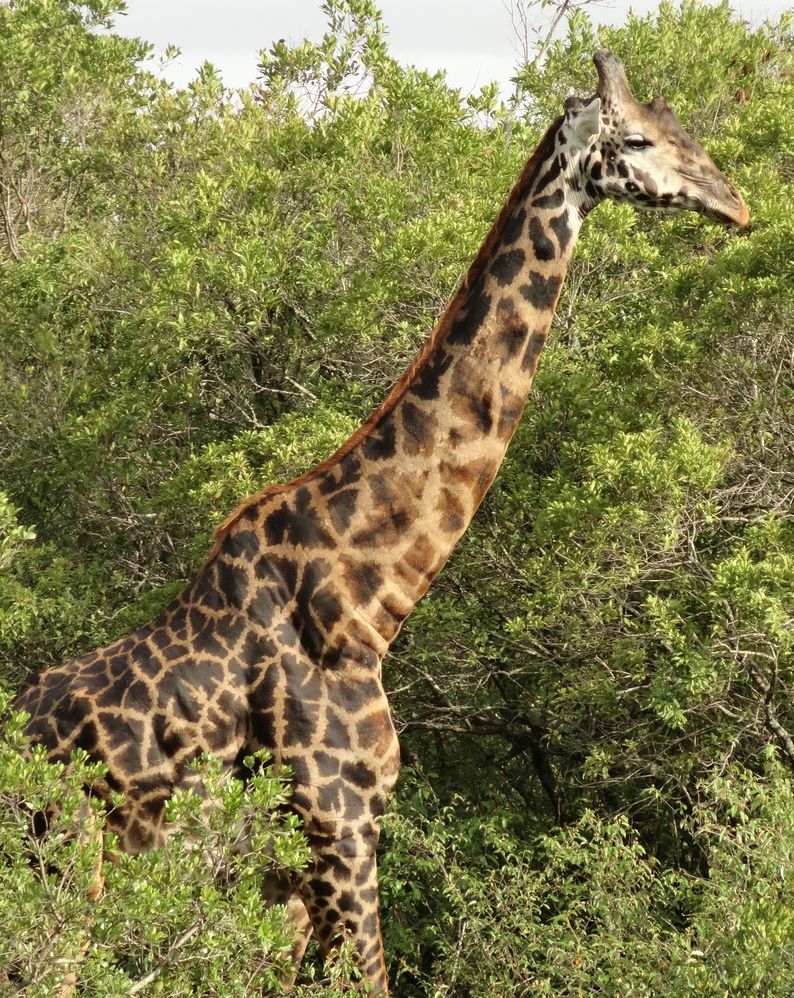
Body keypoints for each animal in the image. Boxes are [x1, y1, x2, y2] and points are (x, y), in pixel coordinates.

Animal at [12, 51, 748, 993]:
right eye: (640, 140)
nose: (737, 203)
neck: (371, 596)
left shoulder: (288, 870)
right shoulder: (339, 823)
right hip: (68, 866)